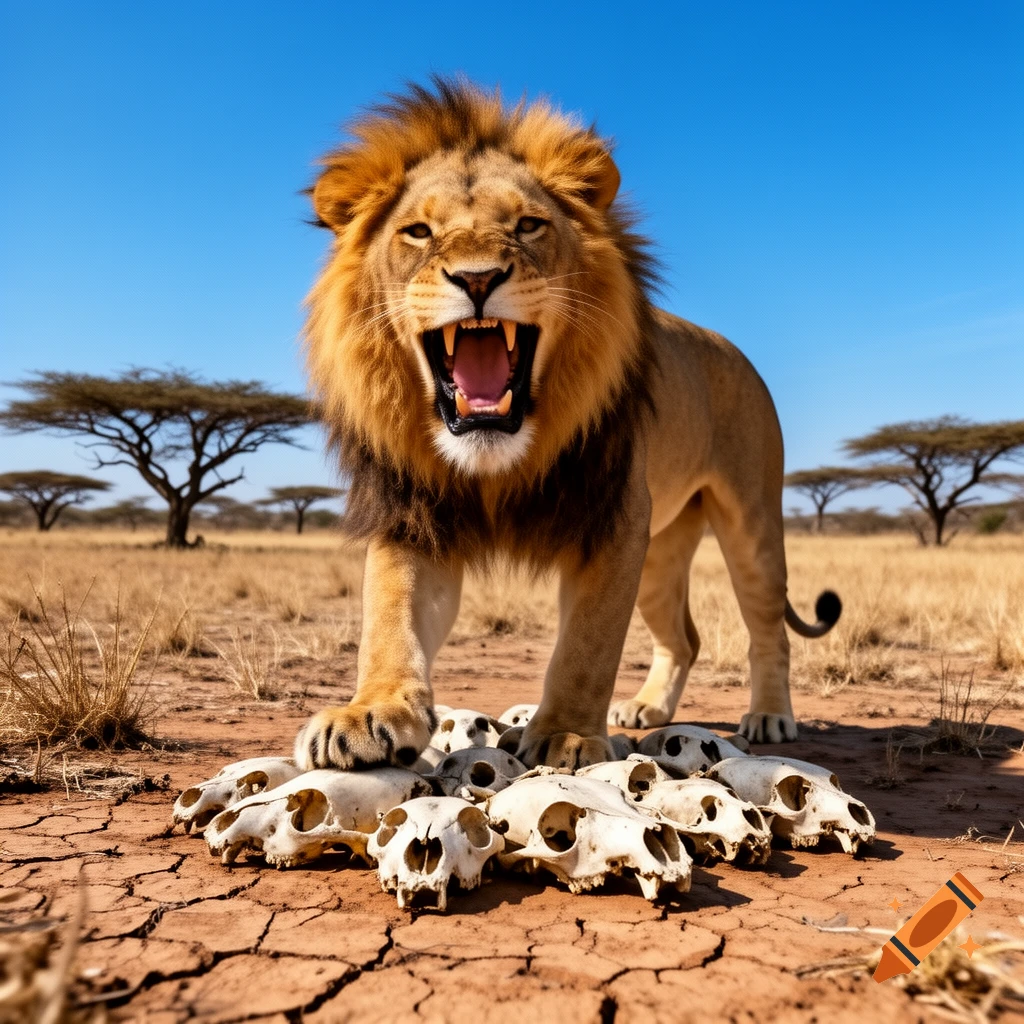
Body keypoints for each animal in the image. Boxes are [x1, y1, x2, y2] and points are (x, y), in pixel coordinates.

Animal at [294, 79, 840, 772]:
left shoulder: (612, 520)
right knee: (683, 637)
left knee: (768, 626)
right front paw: (369, 713)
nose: (477, 277)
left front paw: (569, 737)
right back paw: (648, 709)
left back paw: (769, 716)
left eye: (528, 225)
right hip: (662, 549)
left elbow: (588, 643)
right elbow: (389, 619)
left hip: (750, 522)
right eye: (418, 232)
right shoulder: (415, 516)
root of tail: (732, 348)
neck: (497, 459)